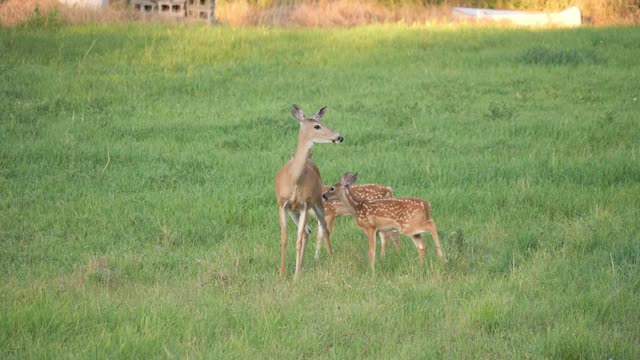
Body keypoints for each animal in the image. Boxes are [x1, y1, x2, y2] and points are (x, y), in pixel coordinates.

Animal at [276, 104, 344, 278]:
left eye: (322, 122)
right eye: (317, 126)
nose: (339, 137)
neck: (294, 178)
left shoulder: (305, 205)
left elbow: (298, 240)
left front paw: (296, 277)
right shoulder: (283, 204)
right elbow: (284, 239)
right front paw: (282, 273)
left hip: (318, 201)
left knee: (324, 228)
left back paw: (332, 258)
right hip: (294, 211)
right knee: (308, 231)